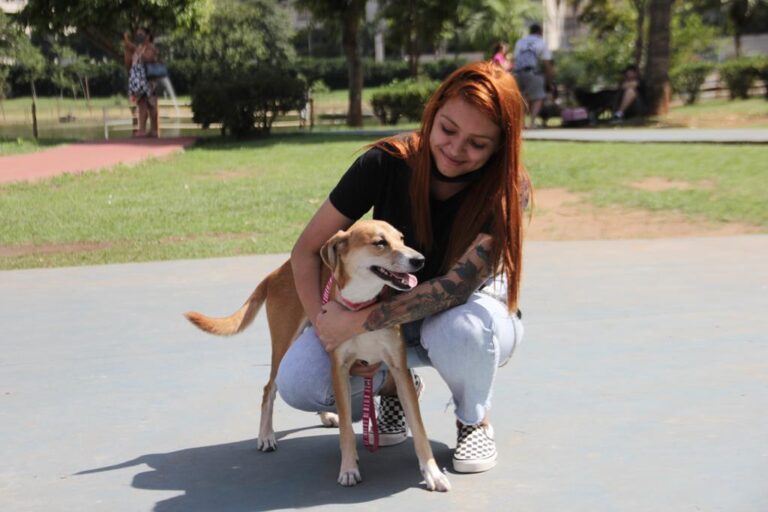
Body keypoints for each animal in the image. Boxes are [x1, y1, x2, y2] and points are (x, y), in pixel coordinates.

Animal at [187, 220, 450, 492]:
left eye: (401, 238)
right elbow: (346, 430)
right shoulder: (339, 367)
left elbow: (419, 428)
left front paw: (432, 472)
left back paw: (324, 415)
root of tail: (277, 271)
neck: (361, 307)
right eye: (380, 243)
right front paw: (348, 469)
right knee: (269, 388)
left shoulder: (398, 368)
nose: (419, 260)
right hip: (284, 345)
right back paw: (266, 436)